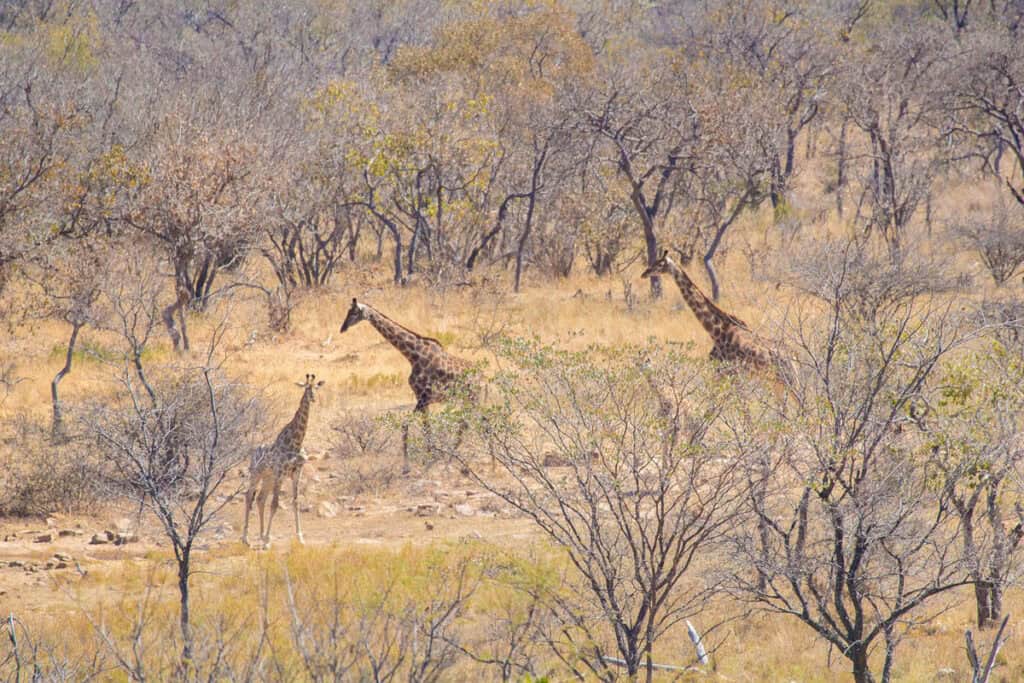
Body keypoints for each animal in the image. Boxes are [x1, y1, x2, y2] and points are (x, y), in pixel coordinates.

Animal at [240, 374, 323, 548]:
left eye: (316, 387)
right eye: (306, 388)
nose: (312, 398)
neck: (296, 442)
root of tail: (254, 452)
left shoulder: (296, 472)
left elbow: (295, 502)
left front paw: (300, 538)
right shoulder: (280, 472)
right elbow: (275, 504)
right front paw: (268, 542)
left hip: (268, 478)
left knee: (260, 498)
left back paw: (261, 535)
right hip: (257, 474)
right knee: (249, 496)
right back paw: (246, 538)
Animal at [339, 299, 475, 458]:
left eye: (354, 313)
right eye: (348, 312)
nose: (342, 328)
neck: (413, 356)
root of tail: (482, 375)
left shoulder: (424, 397)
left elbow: (407, 425)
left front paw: (412, 458)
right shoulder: (421, 398)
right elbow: (425, 427)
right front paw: (429, 452)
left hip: (472, 398)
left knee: (472, 422)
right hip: (467, 399)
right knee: (469, 422)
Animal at [638, 249, 790, 385]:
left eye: (659, 264)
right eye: (652, 263)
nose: (644, 274)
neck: (716, 333)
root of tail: (791, 355)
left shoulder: (730, 372)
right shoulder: (721, 371)